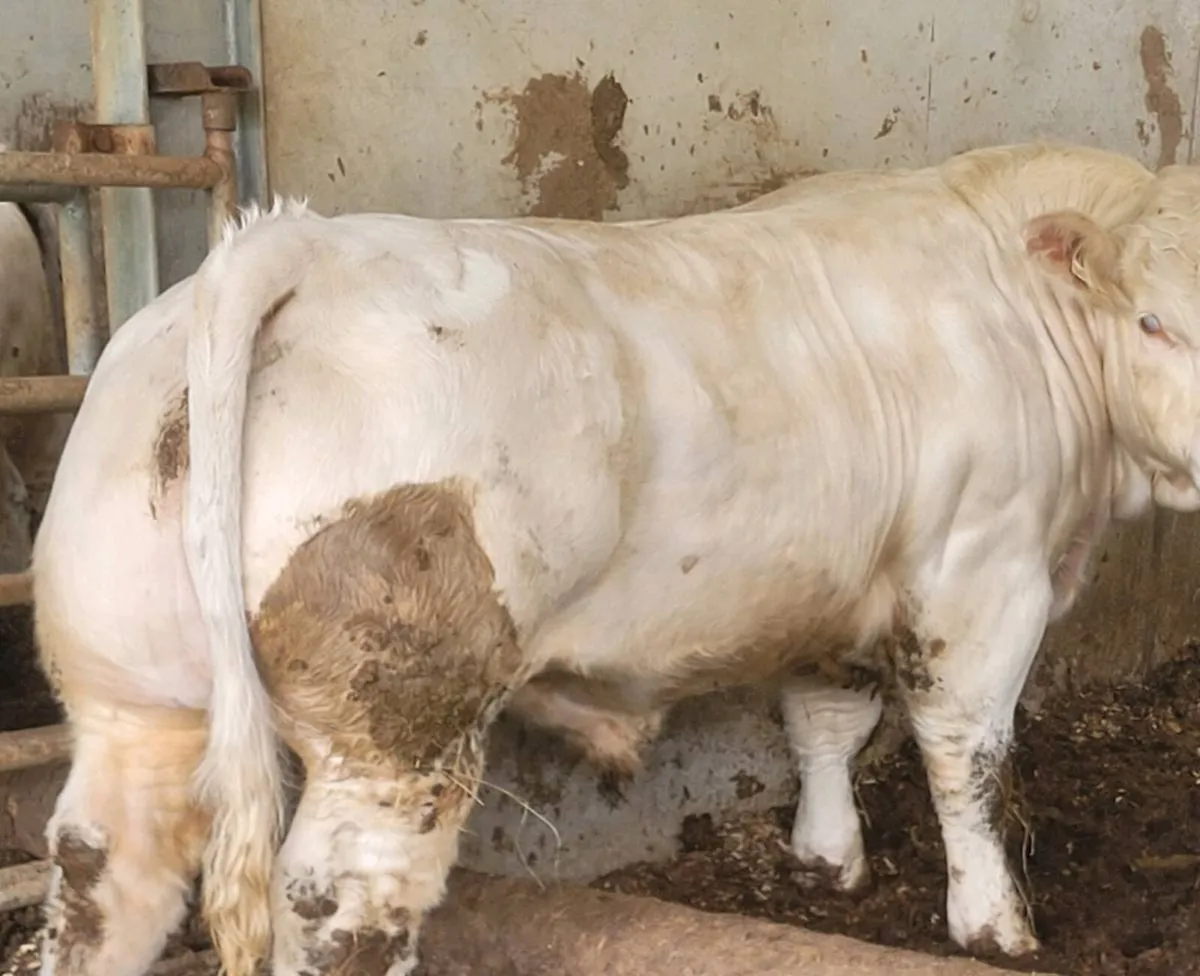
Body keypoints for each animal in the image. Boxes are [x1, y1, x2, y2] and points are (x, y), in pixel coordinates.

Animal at [30, 141, 1200, 976]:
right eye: (1154, 322)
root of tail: (302, 251)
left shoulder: (830, 580)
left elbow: (824, 721)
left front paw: (827, 863)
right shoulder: (981, 573)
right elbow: (968, 755)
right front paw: (996, 925)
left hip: (130, 697)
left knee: (101, 870)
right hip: (399, 731)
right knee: (339, 907)